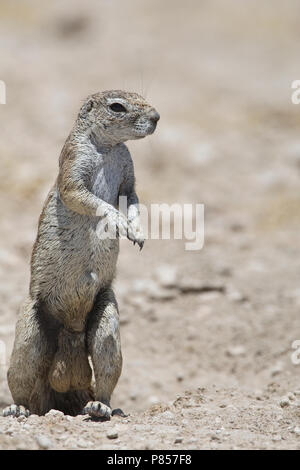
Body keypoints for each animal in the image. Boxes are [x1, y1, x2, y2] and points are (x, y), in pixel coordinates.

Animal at [2, 92, 159, 418]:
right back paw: (17, 408)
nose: (157, 117)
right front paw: (118, 221)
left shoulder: (129, 175)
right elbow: (81, 195)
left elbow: (133, 197)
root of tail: (69, 337)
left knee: (106, 367)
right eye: (117, 106)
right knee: (23, 380)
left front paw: (137, 231)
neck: (108, 148)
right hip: (28, 335)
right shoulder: (73, 162)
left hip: (106, 319)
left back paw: (101, 406)